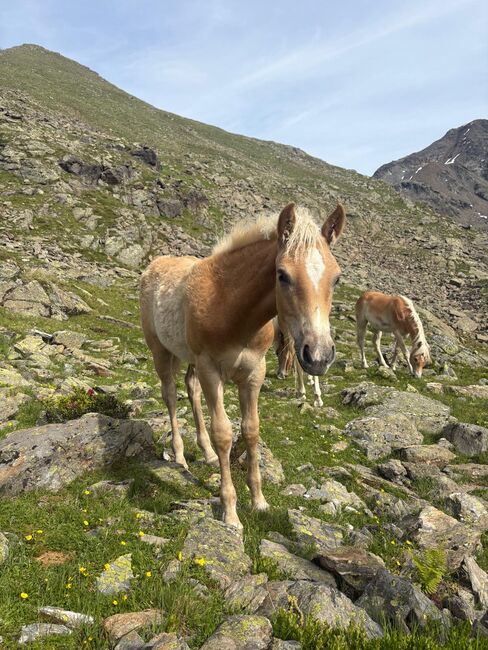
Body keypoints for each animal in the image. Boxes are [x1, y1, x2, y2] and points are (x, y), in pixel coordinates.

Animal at [140, 202, 345, 528]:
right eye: (282, 275)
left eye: (336, 278)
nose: (319, 356)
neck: (231, 309)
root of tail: (154, 265)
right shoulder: (212, 371)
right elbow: (224, 433)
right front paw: (230, 512)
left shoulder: (253, 373)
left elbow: (251, 430)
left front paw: (259, 501)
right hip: (162, 352)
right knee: (170, 396)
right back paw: (180, 457)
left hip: (191, 361)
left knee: (191, 389)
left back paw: (207, 454)